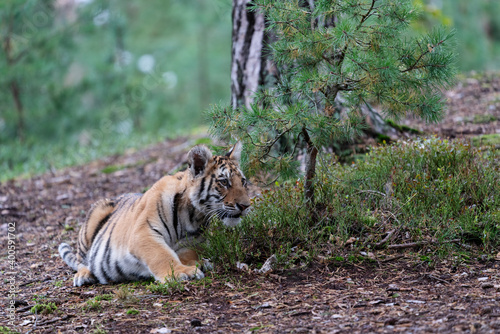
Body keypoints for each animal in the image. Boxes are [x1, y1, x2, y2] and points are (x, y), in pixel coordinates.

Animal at [59, 142, 252, 286]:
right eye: (224, 182)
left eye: (243, 181)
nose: (246, 206)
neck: (194, 215)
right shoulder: (144, 233)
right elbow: (162, 255)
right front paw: (182, 272)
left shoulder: (192, 242)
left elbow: (186, 254)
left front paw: (198, 263)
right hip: (95, 216)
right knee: (82, 260)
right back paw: (85, 275)